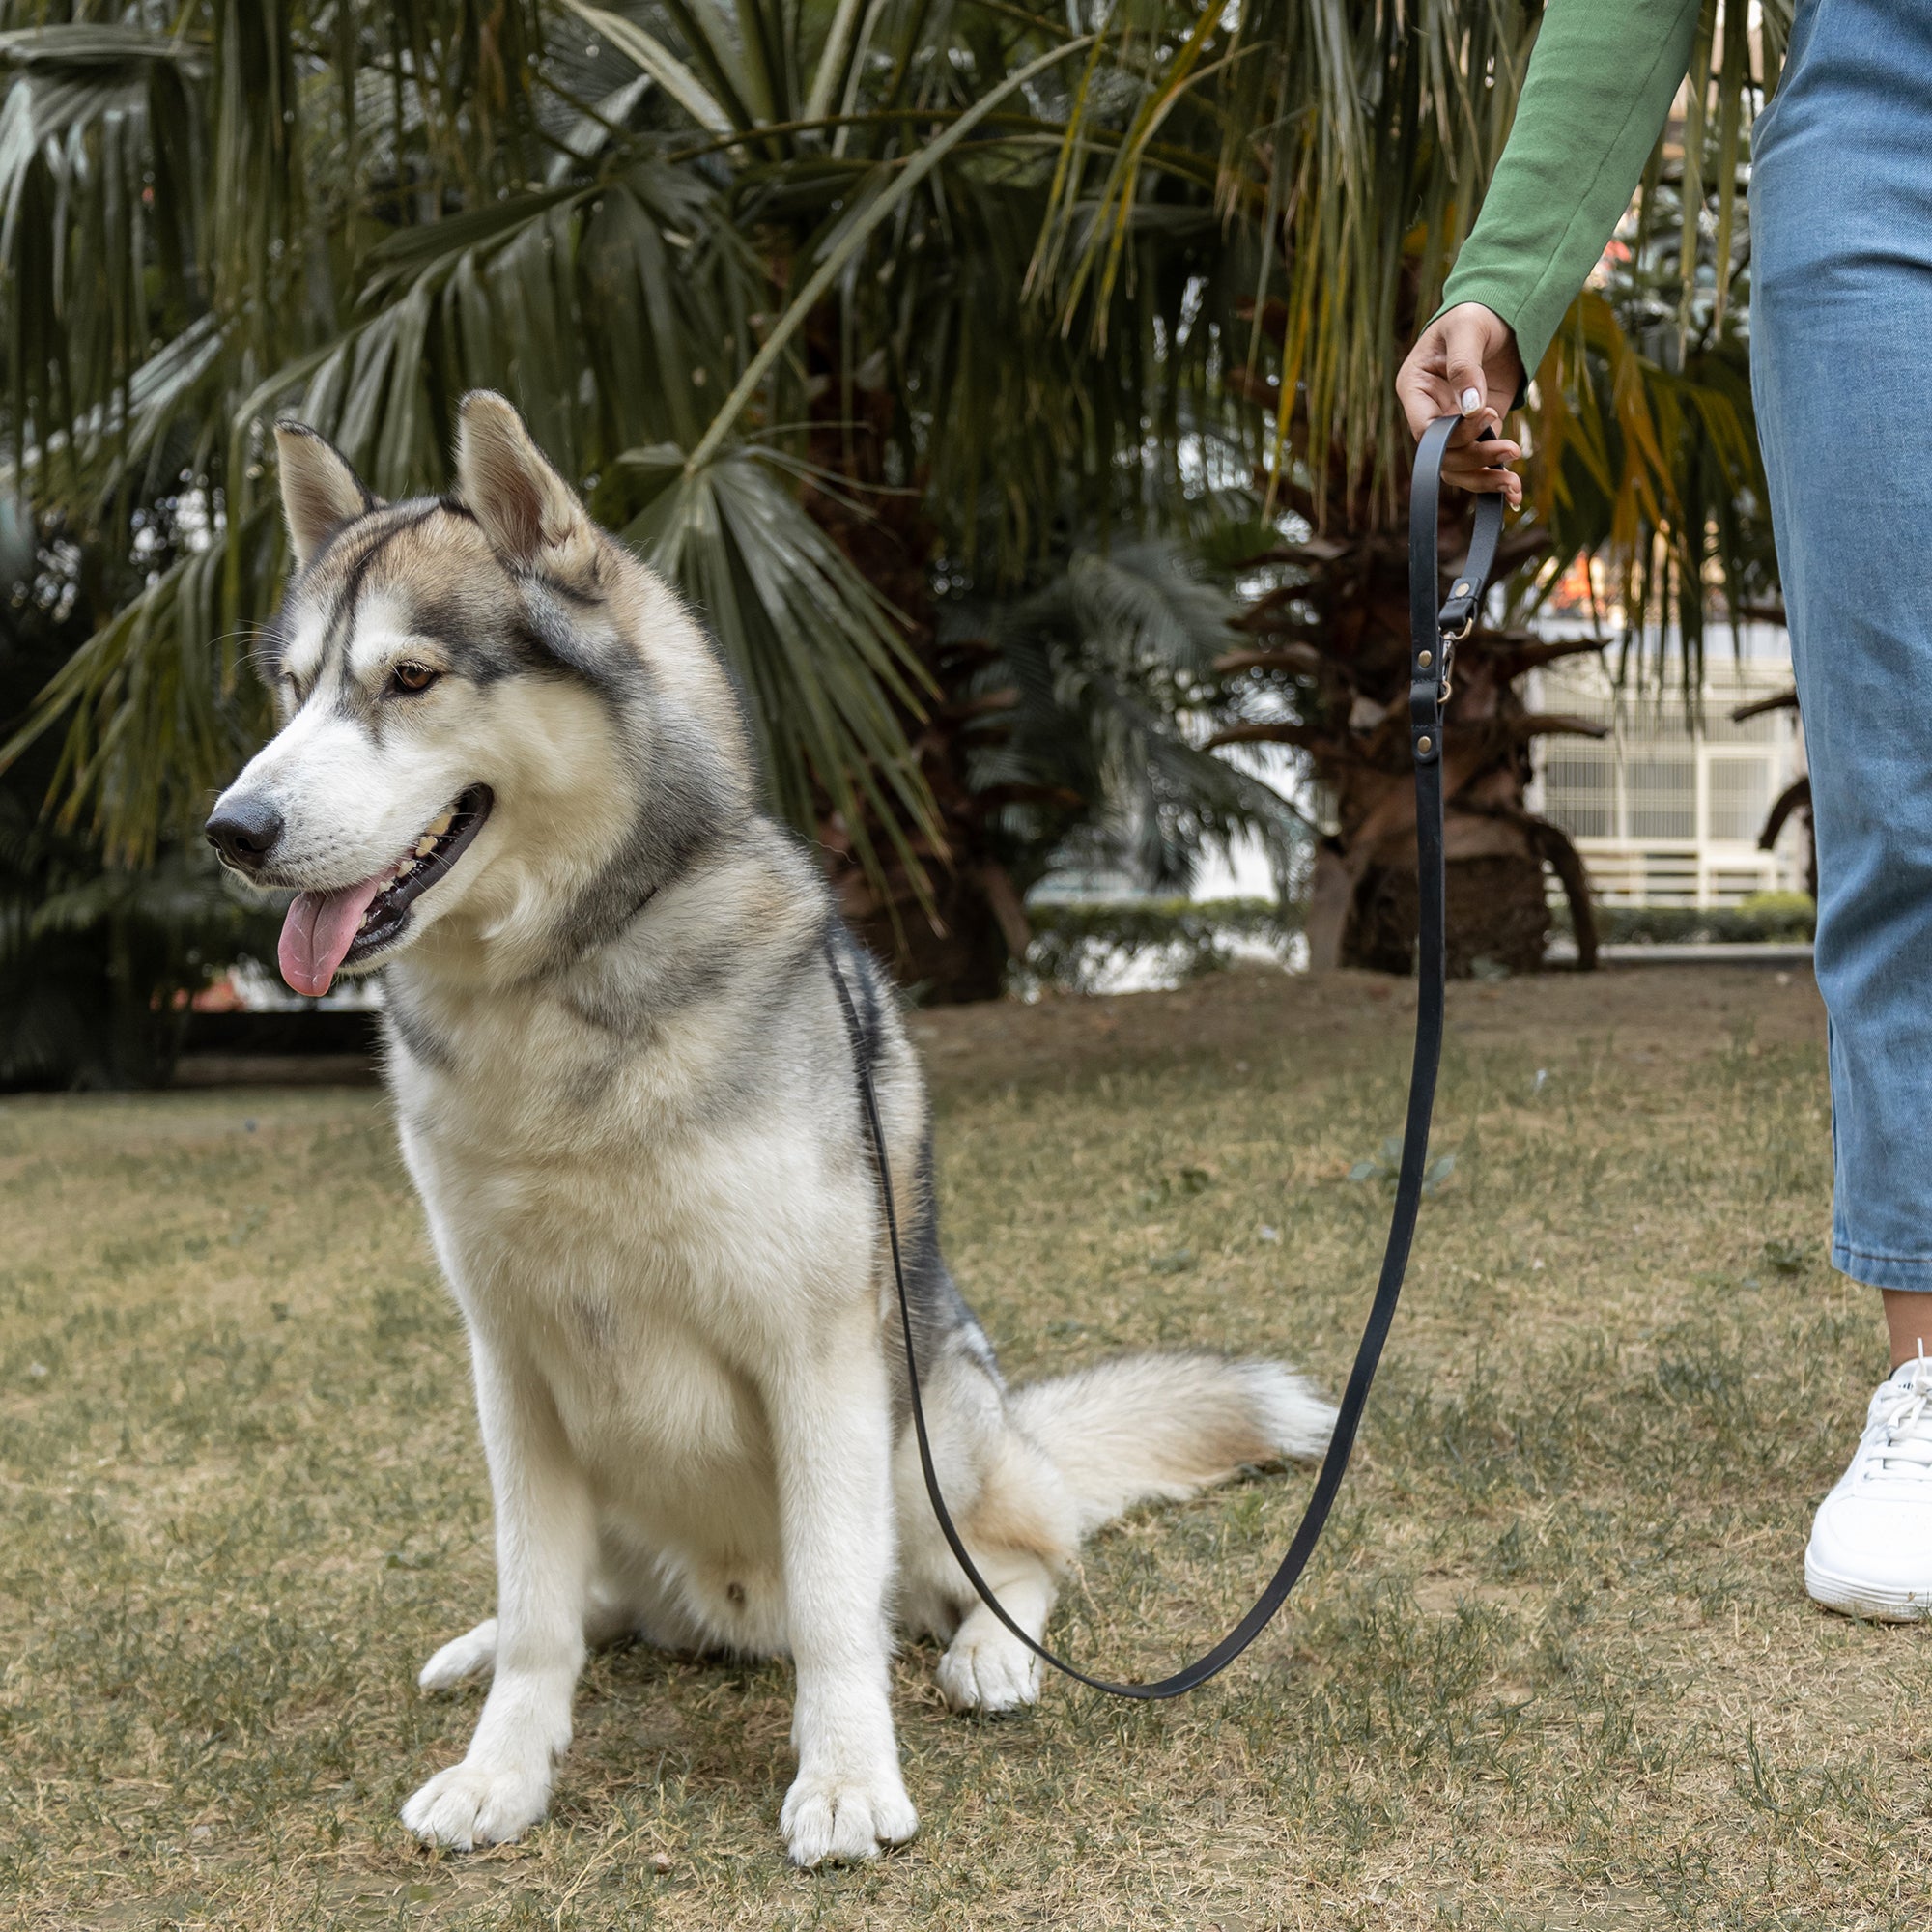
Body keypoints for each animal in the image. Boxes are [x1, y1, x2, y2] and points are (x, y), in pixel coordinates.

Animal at [204, 396, 1337, 1870]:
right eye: (291, 690)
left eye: (408, 678)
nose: (230, 828)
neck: (560, 996)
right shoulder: (510, 1367)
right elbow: (538, 1609)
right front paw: (501, 1770)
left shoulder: (815, 1354)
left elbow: (840, 1609)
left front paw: (847, 1777)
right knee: (584, 1605)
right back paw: (484, 1642)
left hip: (930, 1422)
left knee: (1012, 1561)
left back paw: (990, 1653)